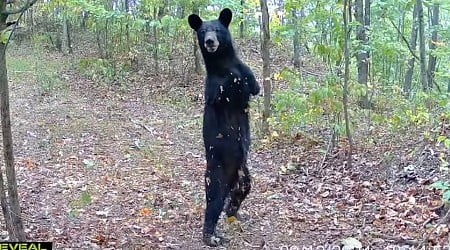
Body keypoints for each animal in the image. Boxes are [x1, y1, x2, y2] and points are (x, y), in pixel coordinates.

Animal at [188, 7, 262, 246]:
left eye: (218, 30)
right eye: (203, 31)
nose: (210, 41)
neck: (223, 63)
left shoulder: (247, 74)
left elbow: (253, 84)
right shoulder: (214, 88)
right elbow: (223, 91)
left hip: (243, 173)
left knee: (242, 189)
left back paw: (233, 211)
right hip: (216, 176)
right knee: (213, 204)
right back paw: (211, 236)